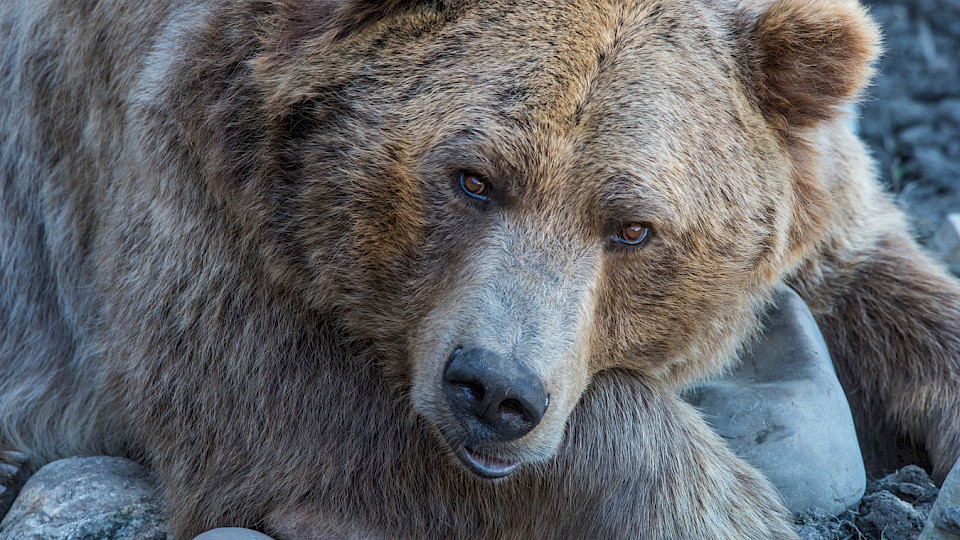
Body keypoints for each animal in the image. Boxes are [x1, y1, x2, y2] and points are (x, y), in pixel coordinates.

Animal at [1, 0, 959, 538]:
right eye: (472, 178)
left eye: (633, 228)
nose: (497, 391)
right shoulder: (177, 161)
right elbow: (265, 399)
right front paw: (729, 511)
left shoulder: (821, 198)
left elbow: (881, 282)